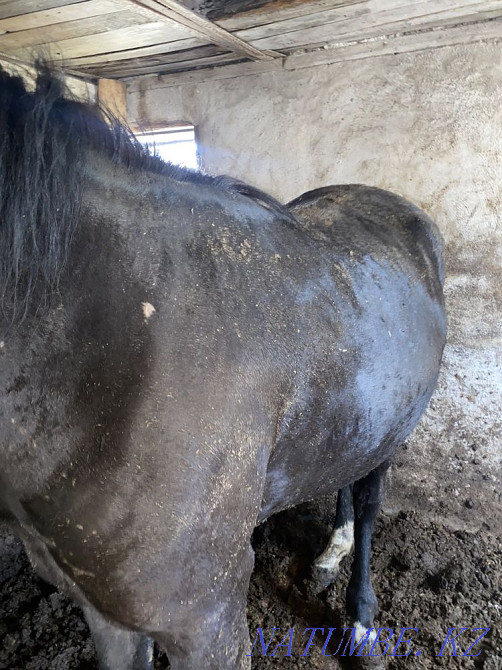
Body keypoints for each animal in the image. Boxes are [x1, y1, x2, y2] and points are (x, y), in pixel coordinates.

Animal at [0, 64, 446, 669]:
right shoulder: (105, 611)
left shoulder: (204, 620)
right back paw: (329, 555)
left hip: (397, 427)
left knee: (370, 497)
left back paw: (360, 622)